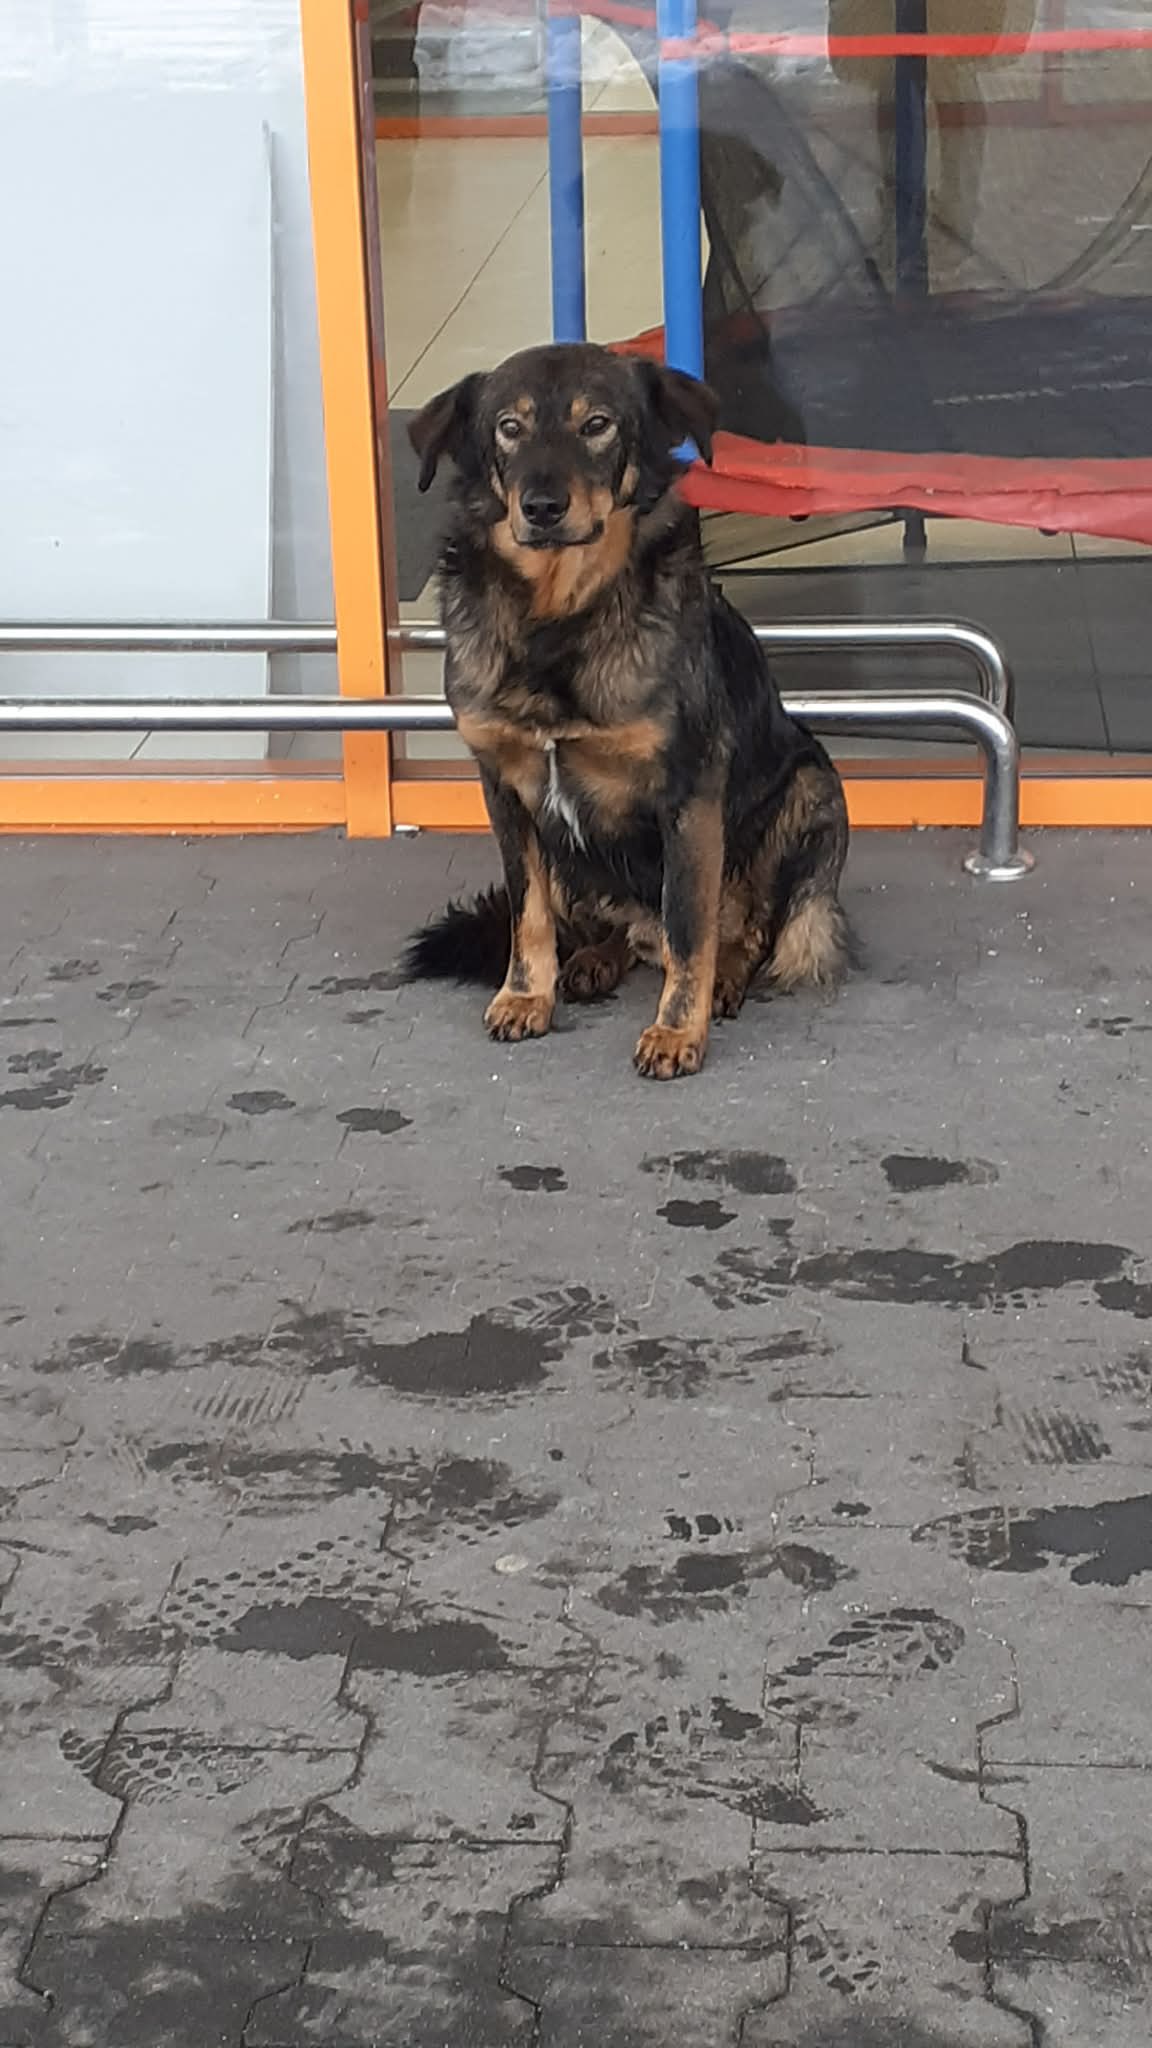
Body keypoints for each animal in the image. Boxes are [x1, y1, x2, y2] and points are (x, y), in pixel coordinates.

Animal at [401, 342, 851, 1079]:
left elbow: (690, 928)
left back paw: (722, 978)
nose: (542, 506)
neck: (558, 621)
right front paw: (526, 996)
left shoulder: (689, 798)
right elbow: (527, 913)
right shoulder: (506, 793)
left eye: (597, 425)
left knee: (746, 926)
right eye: (508, 428)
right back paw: (593, 959)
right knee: (609, 925)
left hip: (812, 790)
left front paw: (676, 1030)